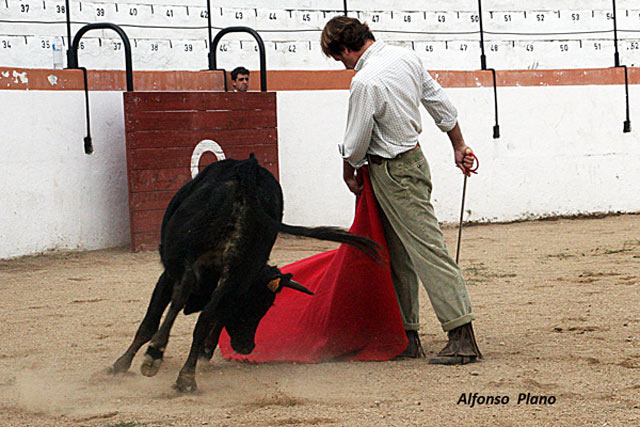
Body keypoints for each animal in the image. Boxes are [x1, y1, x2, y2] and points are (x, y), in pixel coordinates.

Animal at [109, 155, 380, 392]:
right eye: (258, 305)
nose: (248, 347)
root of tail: (248, 173)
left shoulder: (169, 273)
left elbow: (151, 320)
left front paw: (121, 365)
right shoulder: (231, 285)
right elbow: (211, 314)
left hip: (184, 259)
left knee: (182, 297)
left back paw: (156, 356)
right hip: (237, 270)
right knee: (205, 314)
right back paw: (186, 376)